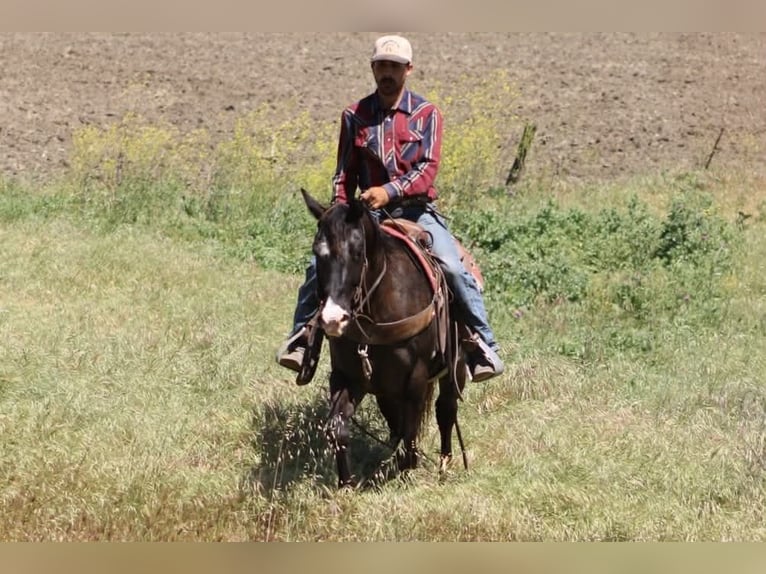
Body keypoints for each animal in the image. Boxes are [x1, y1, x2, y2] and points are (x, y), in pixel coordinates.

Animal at [299, 188, 468, 488]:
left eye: (357, 252)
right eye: (318, 252)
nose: (332, 319)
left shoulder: (415, 378)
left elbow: (411, 431)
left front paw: (406, 474)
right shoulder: (347, 375)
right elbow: (337, 428)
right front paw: (346, 485)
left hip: (454, 367)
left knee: (445, 410)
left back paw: (443, 465)